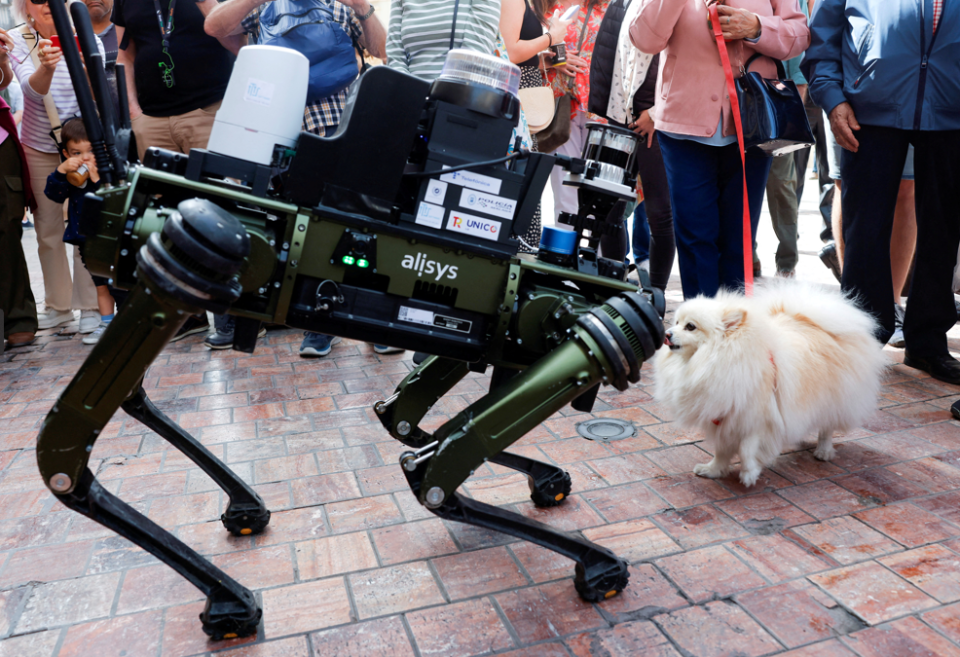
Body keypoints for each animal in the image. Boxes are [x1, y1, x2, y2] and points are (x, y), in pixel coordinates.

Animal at [652, 280, 884, 484]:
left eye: (690, 327)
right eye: (676, 323)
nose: (666, 334)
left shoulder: (759, 418)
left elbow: (746, 449)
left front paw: (749, 474)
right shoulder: (725, 416)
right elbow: (722, 450)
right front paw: (714, 470)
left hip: (834, 397)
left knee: (827, 426)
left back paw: (823, 451)